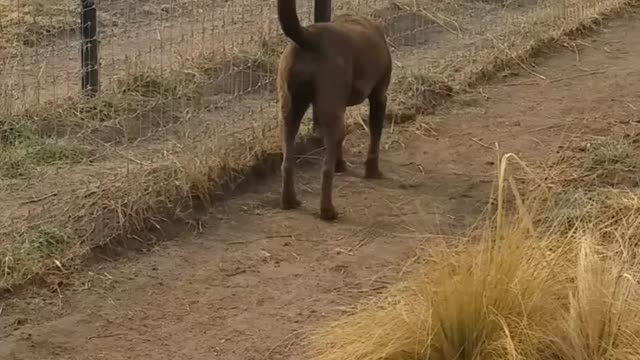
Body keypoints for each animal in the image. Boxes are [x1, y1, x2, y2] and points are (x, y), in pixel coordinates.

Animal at [276, 0, 390, 221]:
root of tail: (308, 37)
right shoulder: (379, 96)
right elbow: (375, 138)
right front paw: (372, 171)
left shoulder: (338, 108)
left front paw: (341, 164)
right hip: (329, 106)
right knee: (325, 170)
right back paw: (328, 211)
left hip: (290, 111)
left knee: (287, 161)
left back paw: (289, 201)